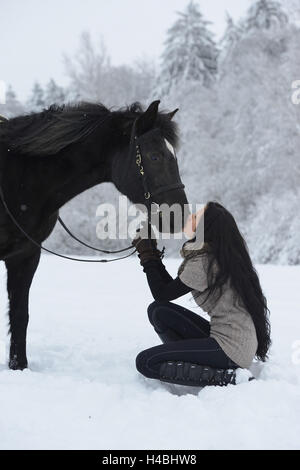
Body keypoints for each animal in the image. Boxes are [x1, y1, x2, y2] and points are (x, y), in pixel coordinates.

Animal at [0, 100, 188, 370]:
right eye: (155, 156)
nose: (180, 215)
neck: (18, 179)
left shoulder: (25, 256)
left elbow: (19, 316)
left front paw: (19, 366)